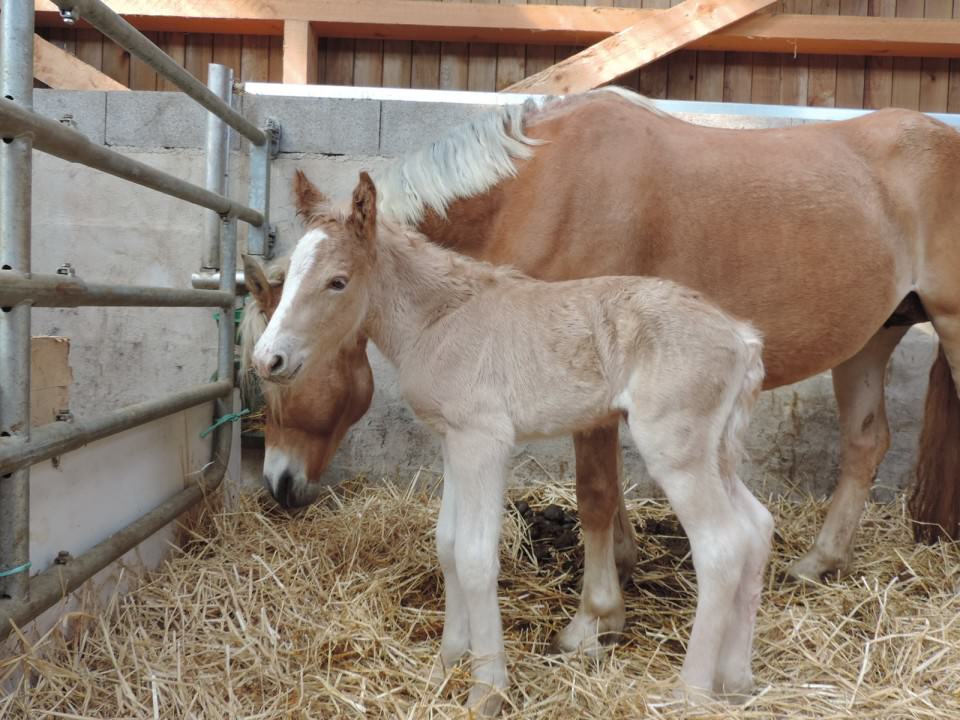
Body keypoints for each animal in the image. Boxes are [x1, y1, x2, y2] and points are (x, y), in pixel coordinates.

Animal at [246, 87, 960, 592]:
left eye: (275, 376)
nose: (278, 485)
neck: (540, 186)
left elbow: (594, 490)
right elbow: (609, 489)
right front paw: (621, 561)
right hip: (870, 340)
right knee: (866, 443)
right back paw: (819, 561)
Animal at [253, 173, 772, 716]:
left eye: (338, 281)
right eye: (289, 278)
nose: (267, 359)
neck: (439, 319)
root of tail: (742, 338)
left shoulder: (484, 441)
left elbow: (475, 556)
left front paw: (486, 689)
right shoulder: (454, 441)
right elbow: (447, 544)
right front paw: (446, 662)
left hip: (675, 448)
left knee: (721, 547)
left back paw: (690, 693)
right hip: (715, 450)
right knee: (756, 528)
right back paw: (736, 680)